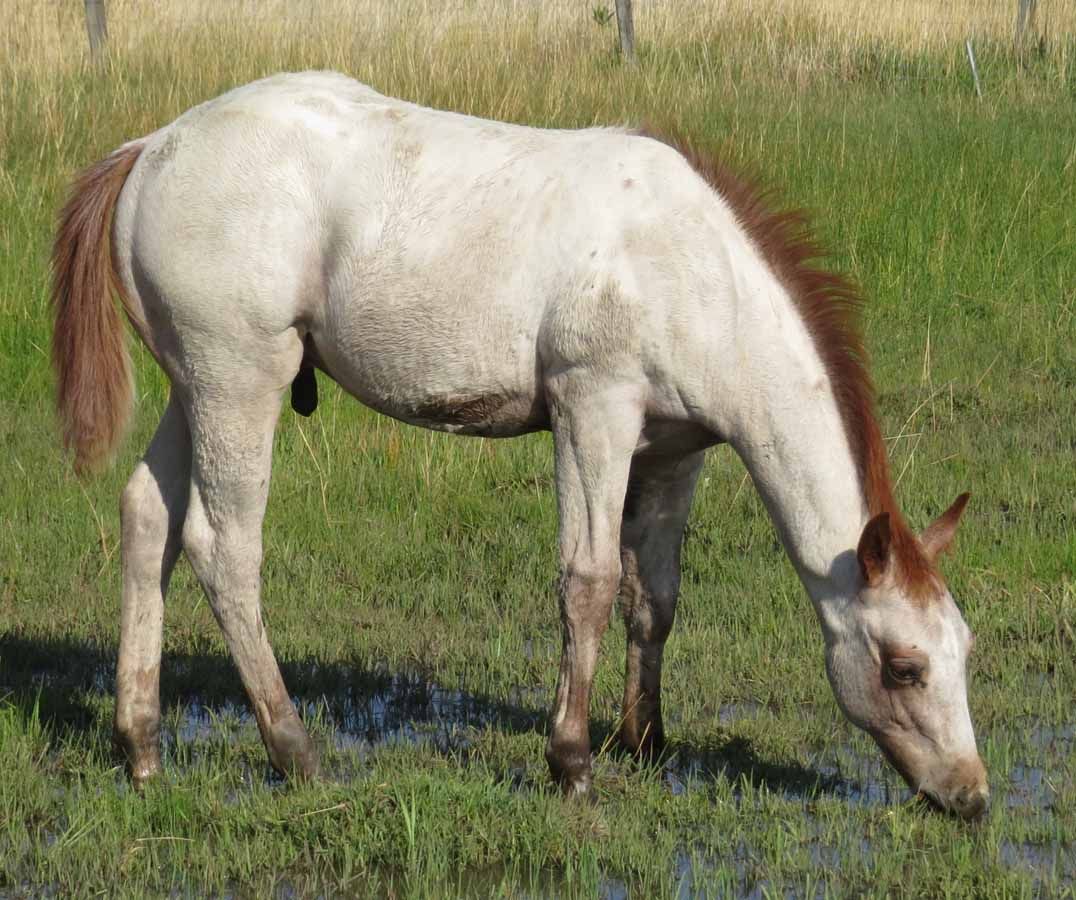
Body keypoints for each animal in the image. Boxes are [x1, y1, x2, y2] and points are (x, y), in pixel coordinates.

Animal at [51, 71, 987, 819]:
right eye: (904, 667)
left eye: (964, 651)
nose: (971, 797)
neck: (692, 269)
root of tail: (152, 147)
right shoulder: (592, 412)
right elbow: (590, 583)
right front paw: (570, 762)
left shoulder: (673, 451)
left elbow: (656, 595)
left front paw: (646, 742)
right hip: (239, 381)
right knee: (223, 547)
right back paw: (293, 750)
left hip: (194, 388)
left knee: (146, 520)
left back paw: (141, 747)